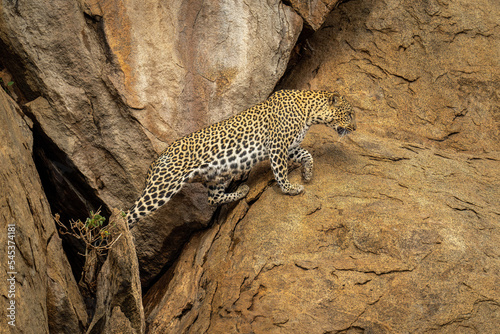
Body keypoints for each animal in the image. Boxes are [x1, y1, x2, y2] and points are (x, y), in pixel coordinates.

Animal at [127, 90, 358, 228]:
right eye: (349, 114)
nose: (355, 128)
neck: (309, 112)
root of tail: (155, 161)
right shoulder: (278, 145)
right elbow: (281, 171)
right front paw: (290, 189)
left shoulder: (289, 147)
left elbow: (306, 155)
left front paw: (307, 174)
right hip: (164, 186)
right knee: (129, 214)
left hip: (216, 175)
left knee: (213, 198)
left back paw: (242, 191)